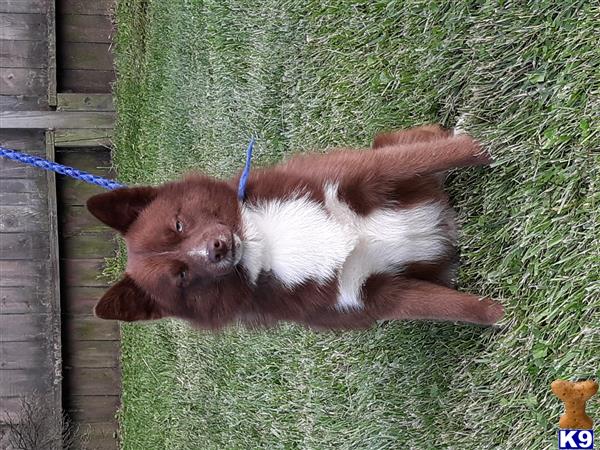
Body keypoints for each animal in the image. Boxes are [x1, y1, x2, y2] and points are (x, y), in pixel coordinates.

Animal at [86, 125, 504, 328]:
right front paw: (502, 318)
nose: (218, 247)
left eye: (178, 223)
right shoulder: (374, 297)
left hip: (386, 145)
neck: (266, 244)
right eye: (181, 276)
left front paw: (490, 148)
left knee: (422, 141)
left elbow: (440, 154)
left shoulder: (364, 173)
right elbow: (458, 307)